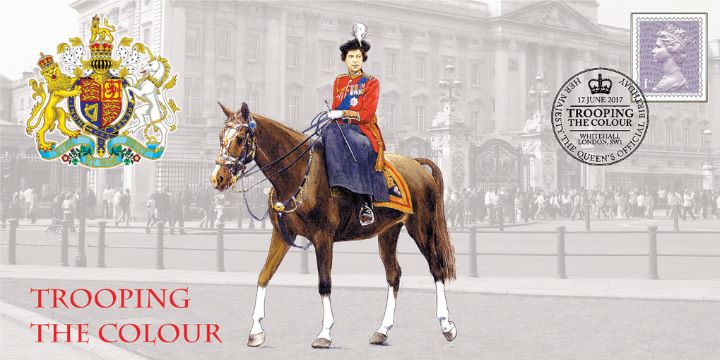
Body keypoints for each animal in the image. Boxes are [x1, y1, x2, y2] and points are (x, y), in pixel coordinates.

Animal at [211, 101, 456, 348]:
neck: (299, 176)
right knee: (393, 275)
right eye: (221, 136)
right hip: (388, 232)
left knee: (436, 268)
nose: (217, 178)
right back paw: (382, 331)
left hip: (421, 227)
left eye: (240, 138)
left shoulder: (323, 238)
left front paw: (325, 334)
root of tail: (415, 162)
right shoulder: (281, 235)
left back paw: (446, 325)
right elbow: (264, 275)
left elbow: (324, 283)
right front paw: (256, 331)